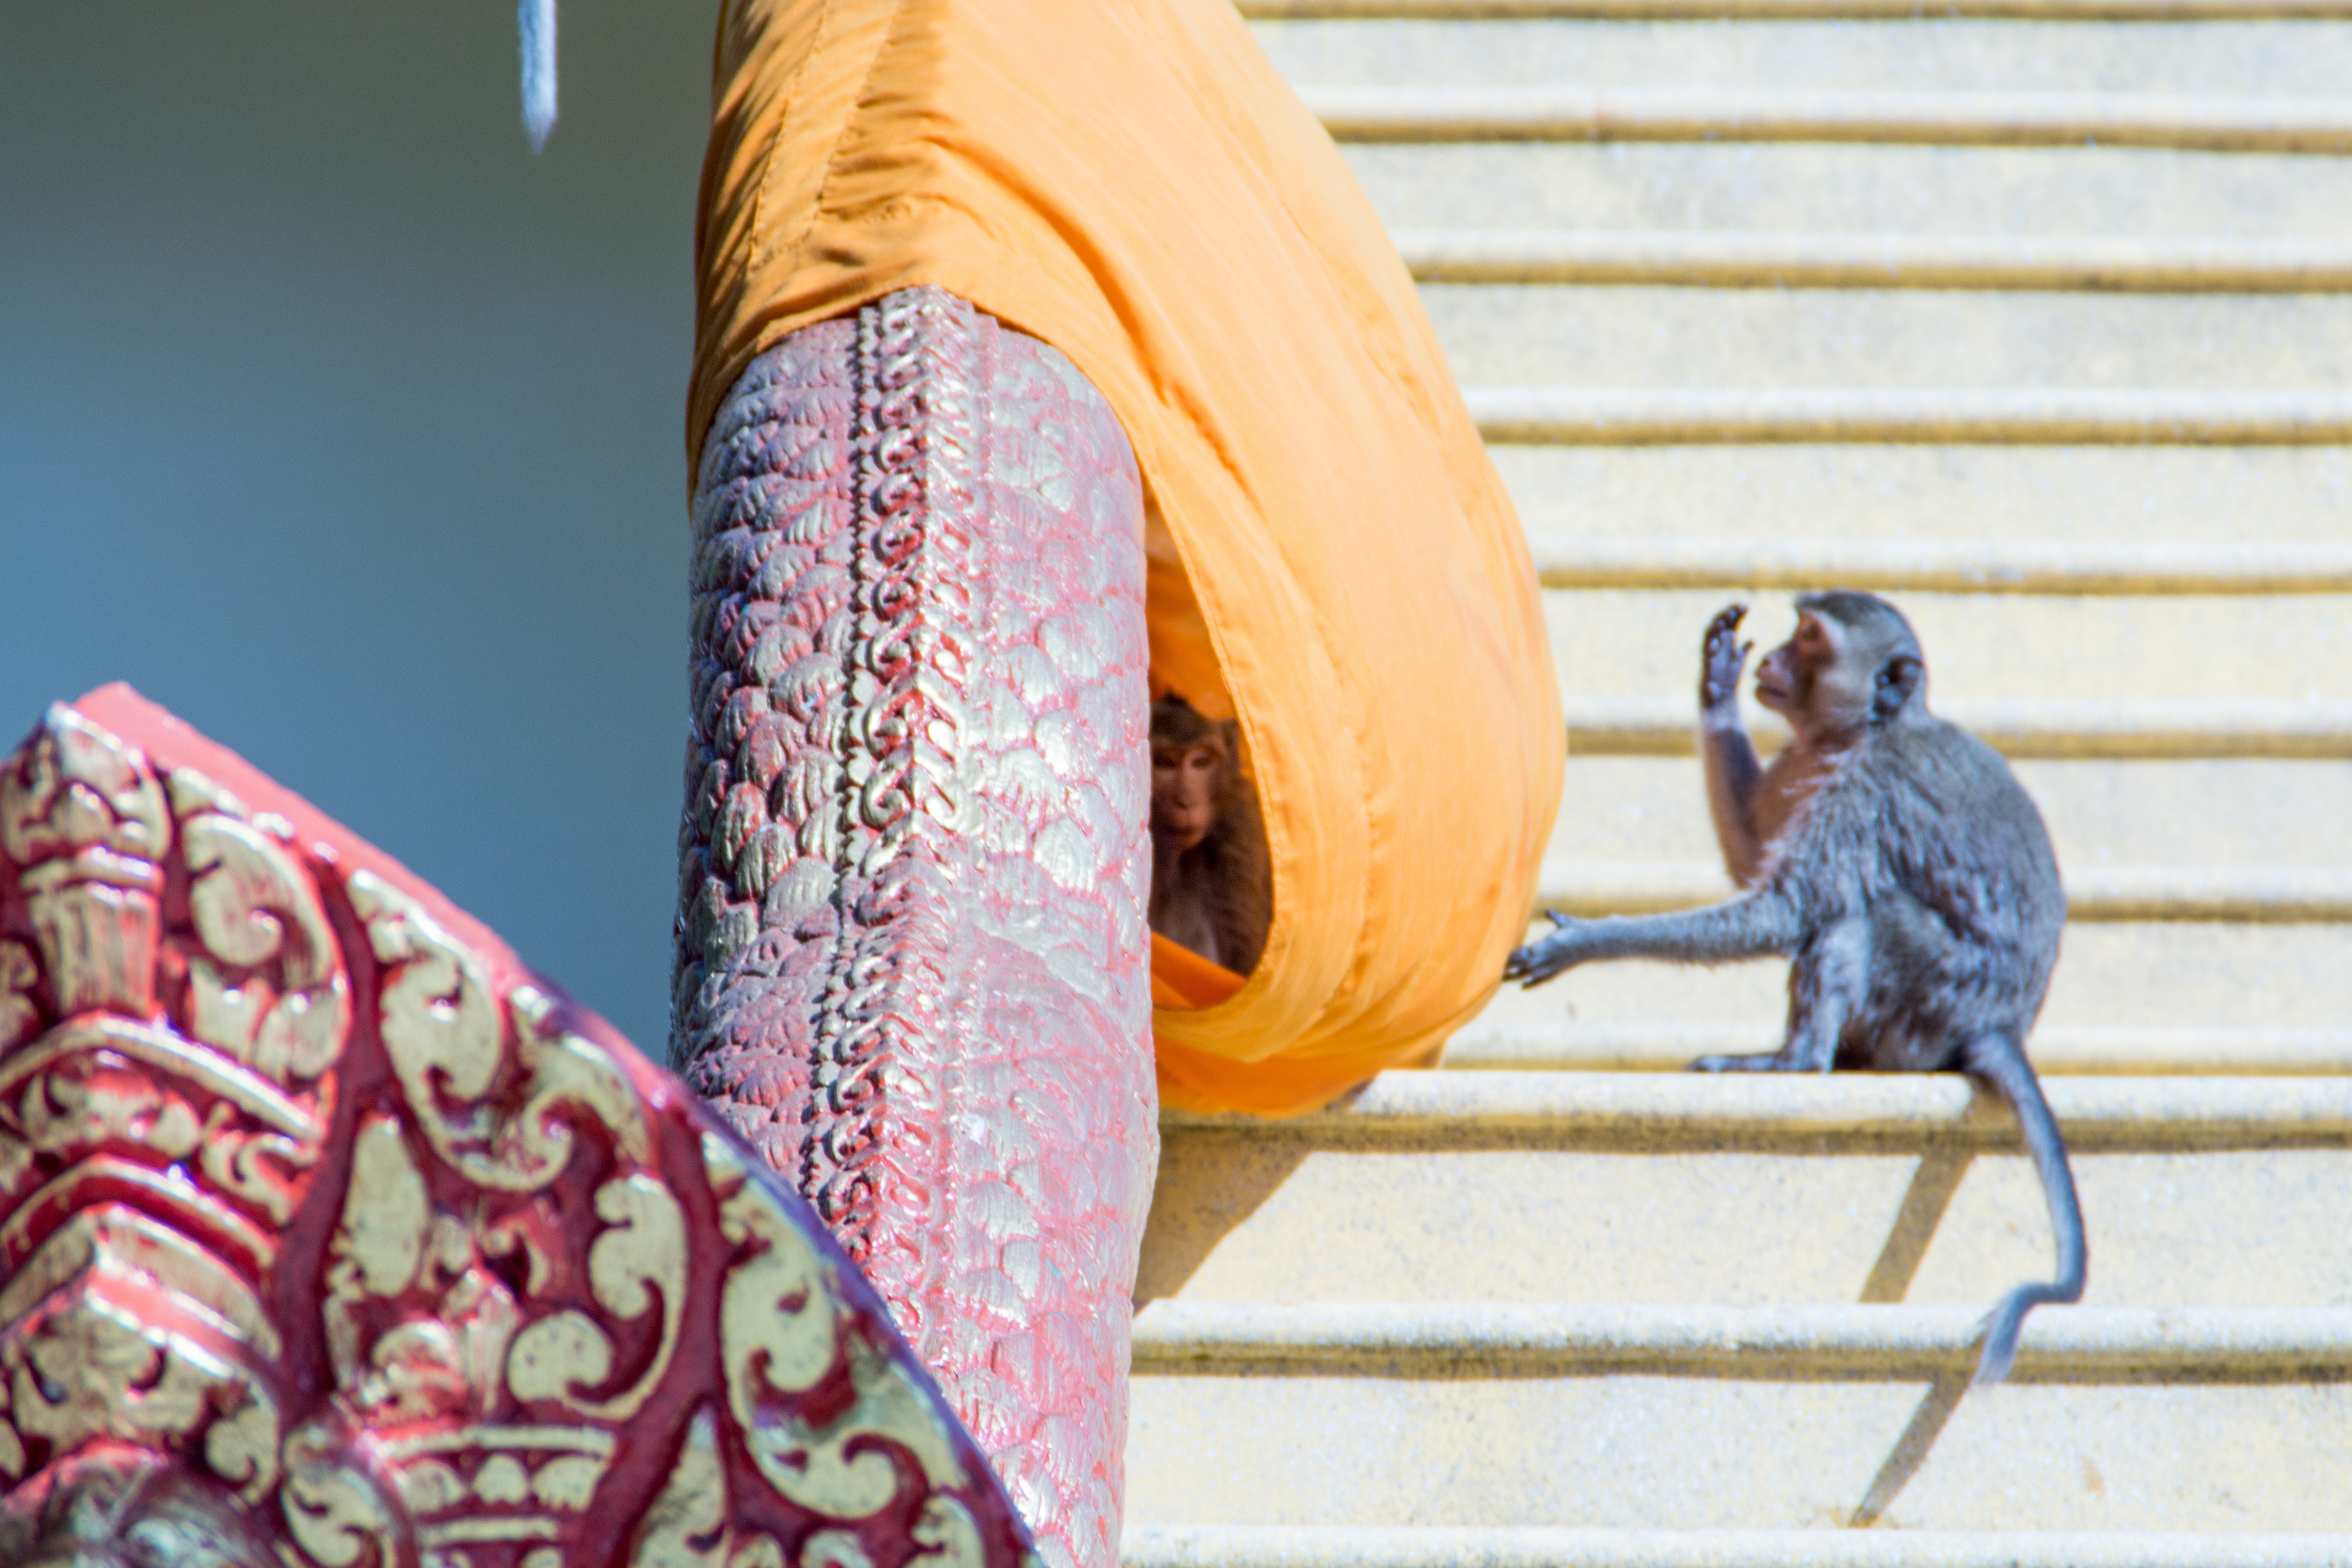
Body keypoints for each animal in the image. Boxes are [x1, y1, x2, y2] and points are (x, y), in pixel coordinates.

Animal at [1504, 592, 2082, 1386]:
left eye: (1810, 637)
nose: (1775, 659)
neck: (1867, 730)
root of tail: (2000, 1023)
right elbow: (1753, 852)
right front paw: (1715, 679)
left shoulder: (1865, 794)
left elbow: (1782, 910)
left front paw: (1582, 942)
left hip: (1931, 998)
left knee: (1854, 914)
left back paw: (1794, 1060)